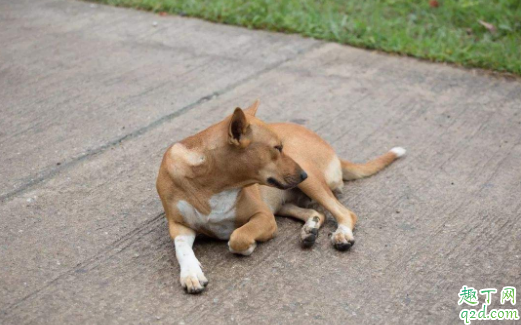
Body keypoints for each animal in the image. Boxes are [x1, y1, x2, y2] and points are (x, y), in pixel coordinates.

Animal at [156, 100, 404, 292]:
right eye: (276, 148)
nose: (302, 174)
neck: (212, 183)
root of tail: (331, 149)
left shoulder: (263, 216)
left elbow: (237, 237)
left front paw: (247, 246)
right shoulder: (179, 225)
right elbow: (181, 248)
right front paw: (191, 274)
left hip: (310, 180)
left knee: (345, 213)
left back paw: (342, 234)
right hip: (285, 199)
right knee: (317, 213)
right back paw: (309, 230)